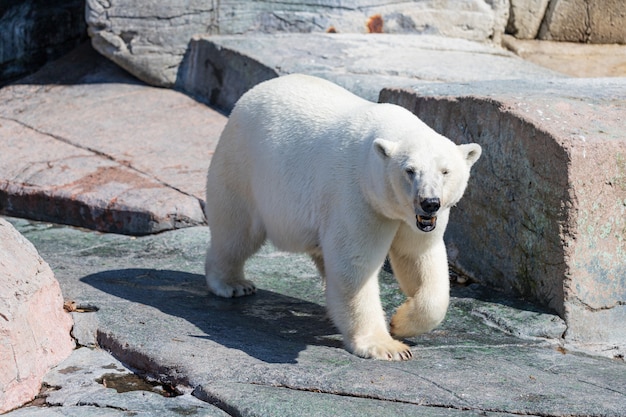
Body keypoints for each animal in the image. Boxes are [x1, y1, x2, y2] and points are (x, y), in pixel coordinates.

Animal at [202, 75, 480, 360]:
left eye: (445, 171)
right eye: (410, 171)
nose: (429, 203)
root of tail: (250, 95)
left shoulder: (411, 219)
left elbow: (419, 256)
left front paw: (400, 323)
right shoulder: (357, 195)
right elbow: (355, 264)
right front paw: (387, 346)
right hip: (243, 166)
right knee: (236, 232)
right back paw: (233, 284)